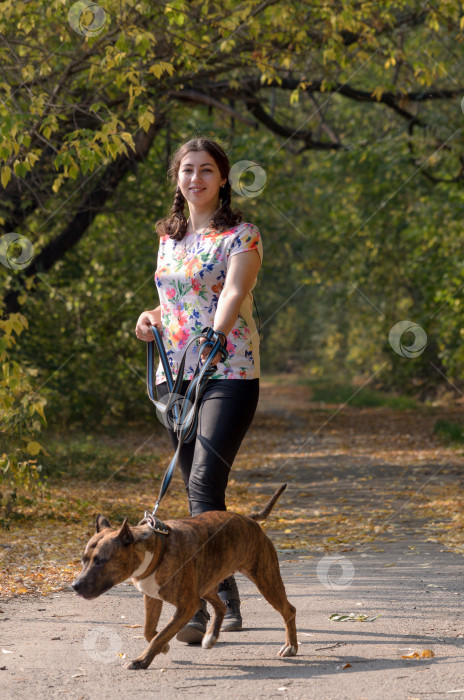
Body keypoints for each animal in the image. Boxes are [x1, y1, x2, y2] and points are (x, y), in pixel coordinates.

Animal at [72, 484, 298, 668]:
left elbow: (161, 634)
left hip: (266, 580)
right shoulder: (152, 598)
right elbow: (149, 631)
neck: (156, 549)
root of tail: (248, 519)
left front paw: (141, 661)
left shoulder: (186, 606)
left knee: (289, 610)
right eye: (83, 560)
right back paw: (210, 637)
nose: (75, 585)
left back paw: (291, 646)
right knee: (220, 606)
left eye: (100, 561)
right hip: (206, 586)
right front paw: (161, 648)